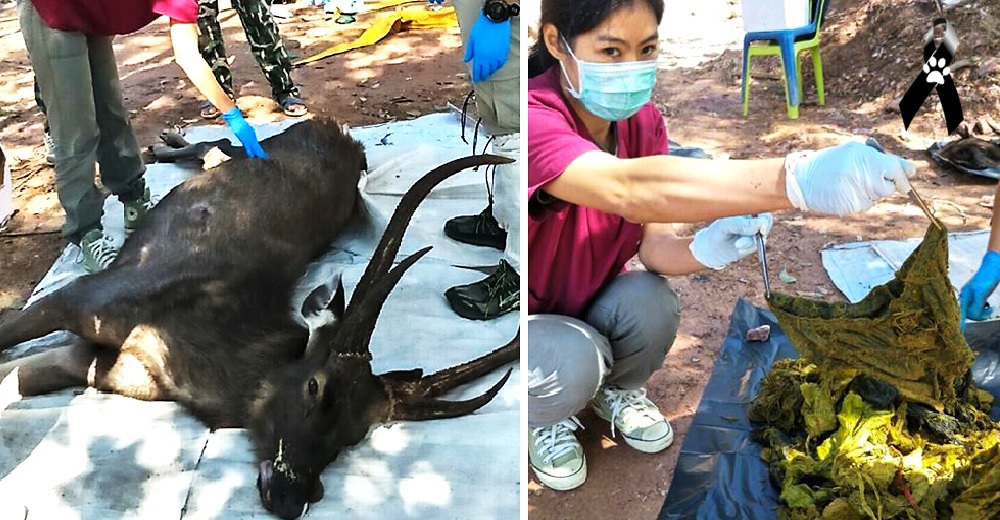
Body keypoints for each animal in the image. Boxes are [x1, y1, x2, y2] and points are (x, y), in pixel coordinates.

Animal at [0, 120, 516, 520]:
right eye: (314, 386)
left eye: (355, 435)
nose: (292, 496)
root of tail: (343, 136)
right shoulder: (80, 298)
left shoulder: (99, 365)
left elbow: (17, 377)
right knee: (221, 143)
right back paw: (165, 141)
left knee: (216, 149)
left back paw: (168, 141)